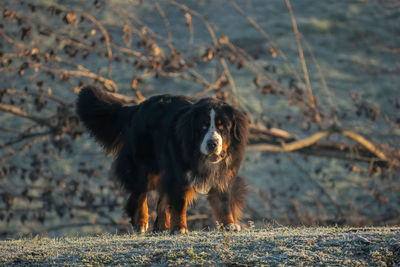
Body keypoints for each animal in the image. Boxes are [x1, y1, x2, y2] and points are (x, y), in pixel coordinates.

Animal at [76, 86, 248, 234]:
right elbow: (179, 202)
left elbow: (223, 200)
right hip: (143, 165)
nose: (212, 143)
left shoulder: (223, 173)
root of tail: (137, 108)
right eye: (203, 126)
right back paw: (141, 223)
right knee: (140, 193)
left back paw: (162, 226)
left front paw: (229, 224)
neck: (200, 156)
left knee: (161, 200)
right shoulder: (179, 173)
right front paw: (179, 228)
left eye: (222, 127)